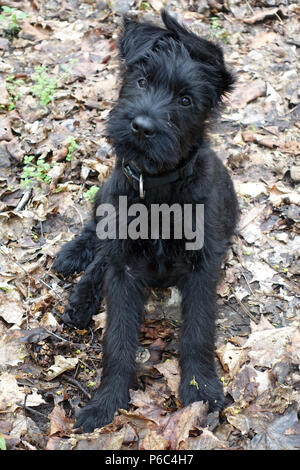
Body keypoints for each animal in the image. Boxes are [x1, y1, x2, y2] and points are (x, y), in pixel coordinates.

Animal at [52, 9, 239, 432]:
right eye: (141, 81)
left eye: (185, 100)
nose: (141, 127)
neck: (157, 188)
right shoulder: (125, 269)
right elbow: (118, 340)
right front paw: (106, 403)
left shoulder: (202, 268)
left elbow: (198, 333)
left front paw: (201, 392)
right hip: (107, 198)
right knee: (97, 243)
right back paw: (78, 282)